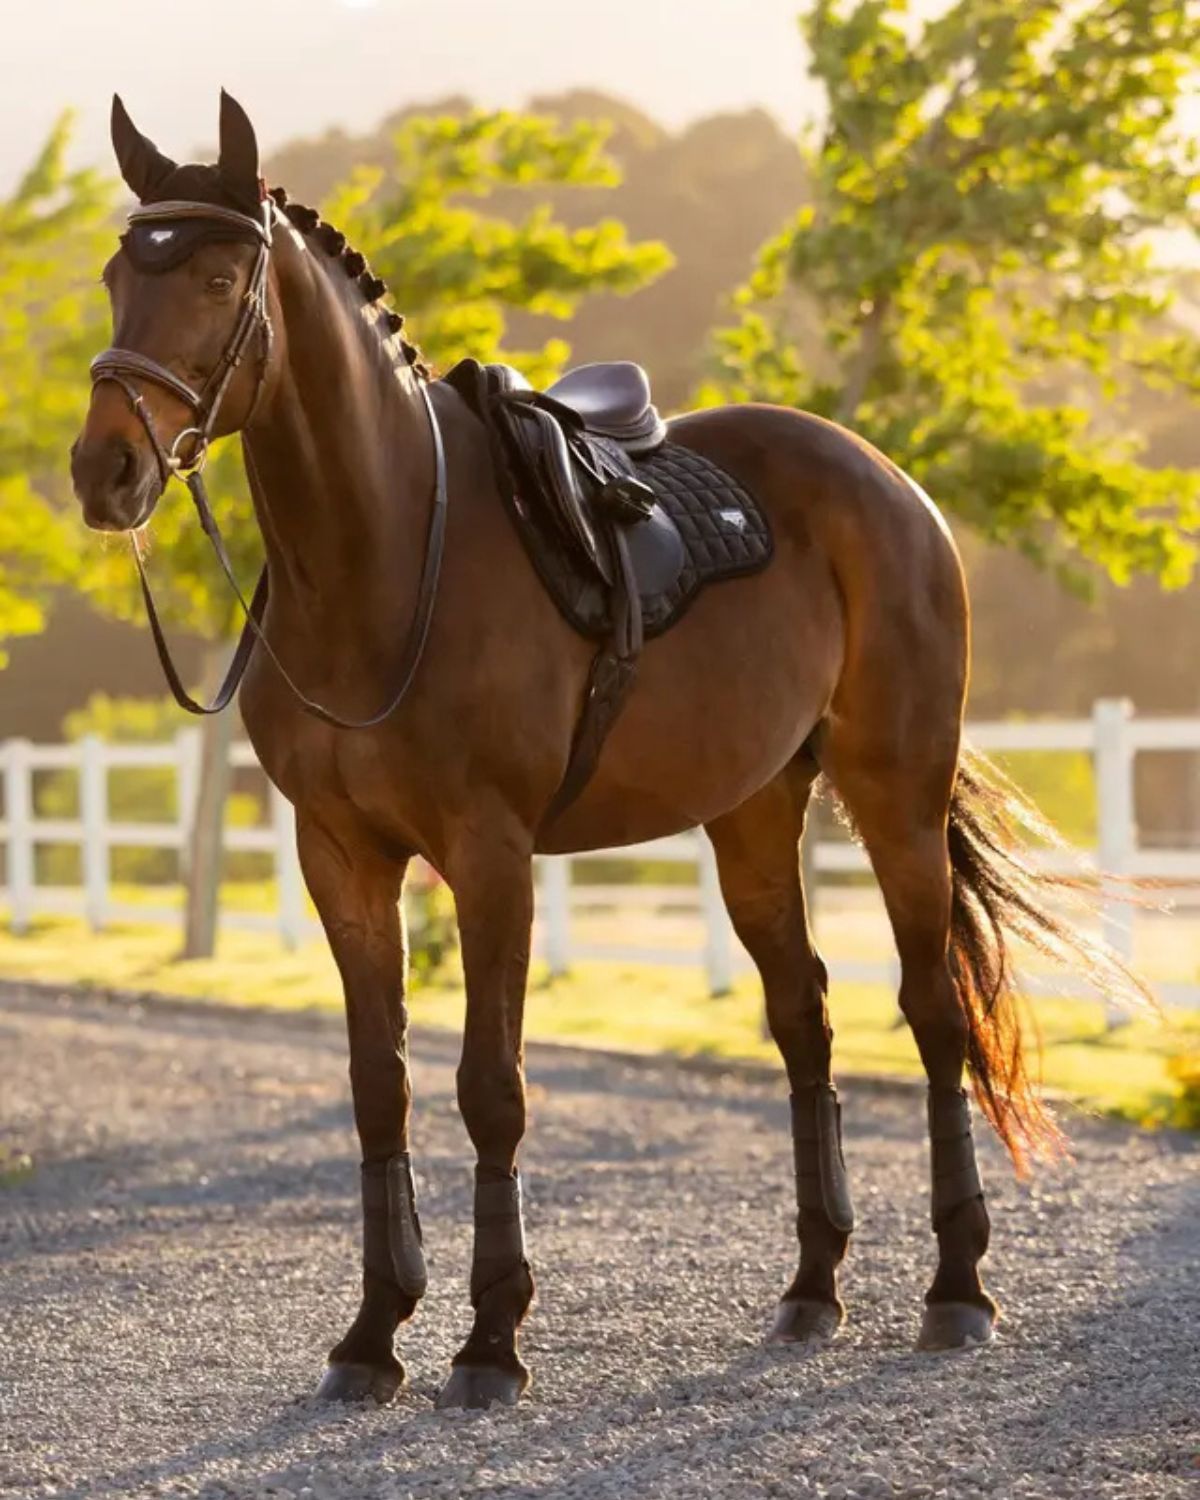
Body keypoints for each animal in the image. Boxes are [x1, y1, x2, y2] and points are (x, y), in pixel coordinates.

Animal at [70, 92, 1144, 1410]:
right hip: (753, 812)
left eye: (221, 277)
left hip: (894, 790)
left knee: (933, 1012)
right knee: (805, 1019)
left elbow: (491, 1089)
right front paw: (372, 1336)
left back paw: (958, 1290)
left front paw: (489, 1340)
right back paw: (811, 1289)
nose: (104, 469)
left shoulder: (489, 855)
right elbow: (382, 1088)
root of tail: (891, 485)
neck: (389, 556)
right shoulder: (343, 859)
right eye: (121, 272)